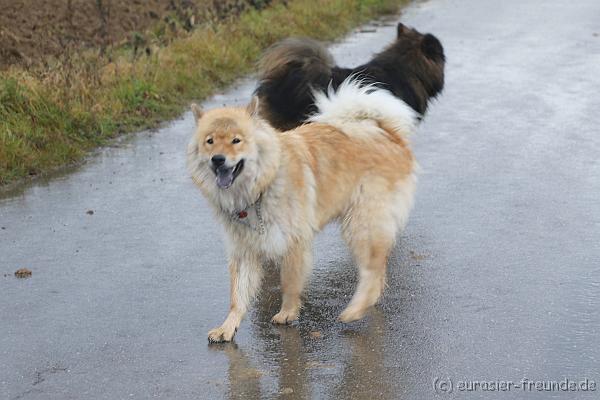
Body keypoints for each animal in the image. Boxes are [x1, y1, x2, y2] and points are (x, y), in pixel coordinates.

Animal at [188, 79, 418, 342]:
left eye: (236, 140)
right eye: (210, 141)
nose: (217, 159)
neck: (261, 187)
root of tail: (390, 134)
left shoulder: (293, 243)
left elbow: (288, 284)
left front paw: (287, 313)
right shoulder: (244, 249)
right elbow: (238, 295)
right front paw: (227, 327)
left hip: (361, 224)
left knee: (373, 269)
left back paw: (355, 310)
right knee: (378, 270)